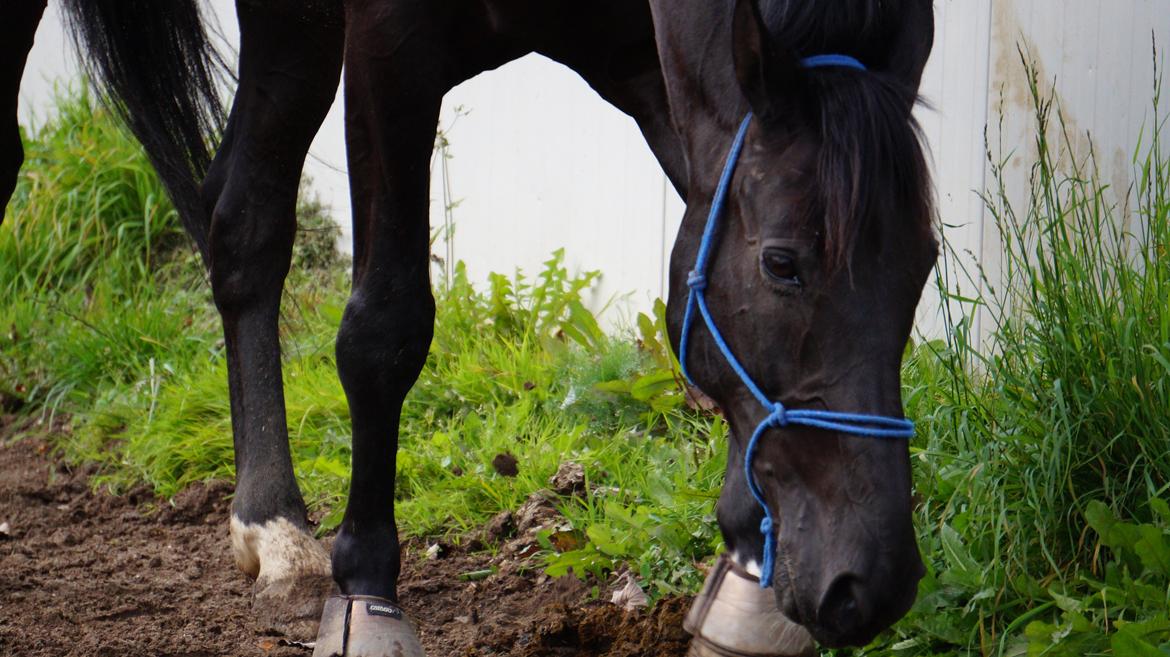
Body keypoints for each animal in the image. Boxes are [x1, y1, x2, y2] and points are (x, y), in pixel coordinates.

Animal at [0, 2, 931, 649]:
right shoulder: (391, 44)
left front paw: (745, 556)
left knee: (242, 219)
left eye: (924, 263)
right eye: (783, 263)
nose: (869, 581)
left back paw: (274, 527)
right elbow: (384, 330)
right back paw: (280, 529)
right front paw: (365, 590)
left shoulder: (652, 66)